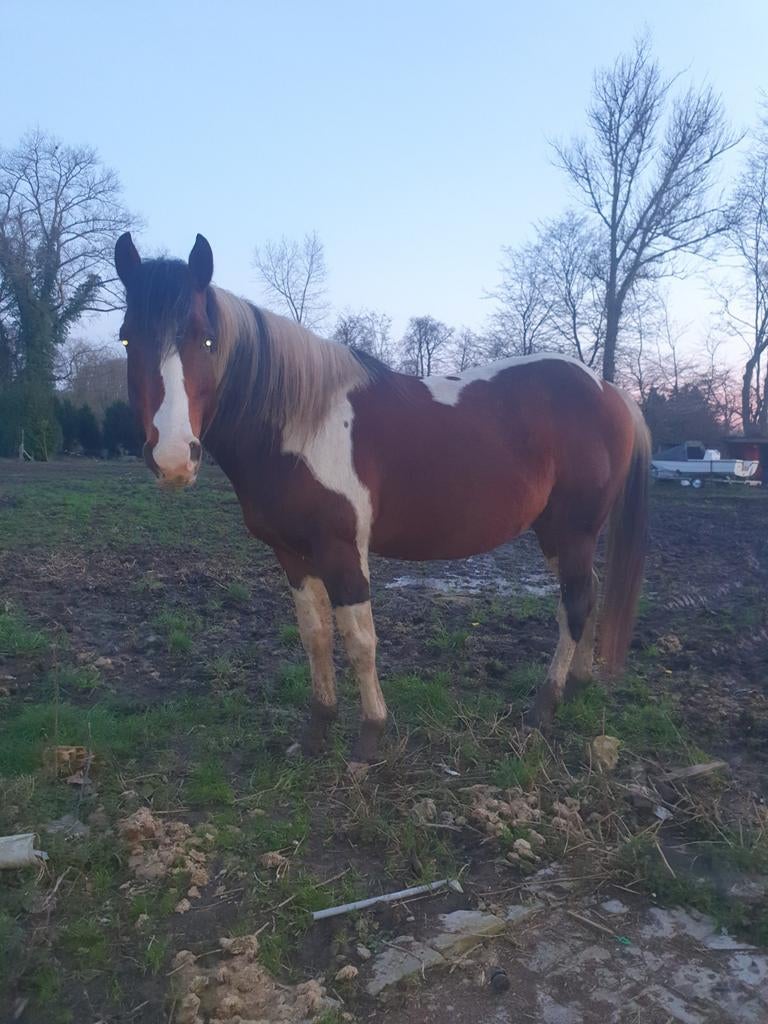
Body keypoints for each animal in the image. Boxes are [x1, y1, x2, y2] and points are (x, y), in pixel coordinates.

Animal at [114, 232, 650, 768]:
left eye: (206, 340)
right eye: (126, 338)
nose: (174, 457)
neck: (302, 425)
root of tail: (611, 390)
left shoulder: (343, 550)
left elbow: (359, 641)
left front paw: (368, 738)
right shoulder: (293, 555)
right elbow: (315, 637)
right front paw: (316, 732)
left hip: (573, 530)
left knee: (574, 604)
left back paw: (544, 706)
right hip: (557, 534)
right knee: (588, 592)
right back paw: (577, 687)